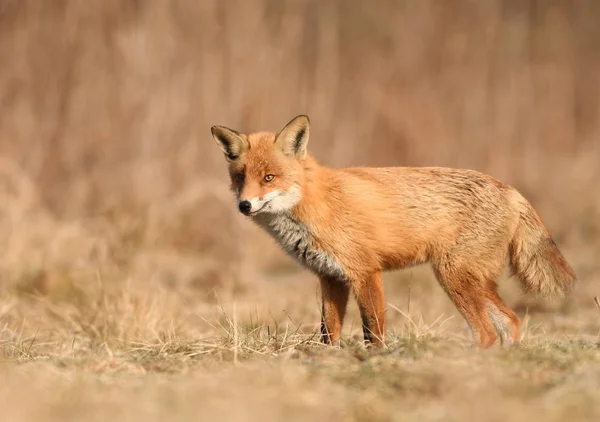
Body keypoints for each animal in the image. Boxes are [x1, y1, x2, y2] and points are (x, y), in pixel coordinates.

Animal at [211, 114, 576, 346]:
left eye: (269, 177)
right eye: (241, 177)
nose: (244, 205)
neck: (313, 202)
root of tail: (510, 189)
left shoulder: (365, 272)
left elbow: (373, 330)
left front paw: (374, 361)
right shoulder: (330, 277)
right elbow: (329, 333)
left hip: (454, 276)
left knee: (486, 332)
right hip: (473, 279)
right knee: (511, 321)